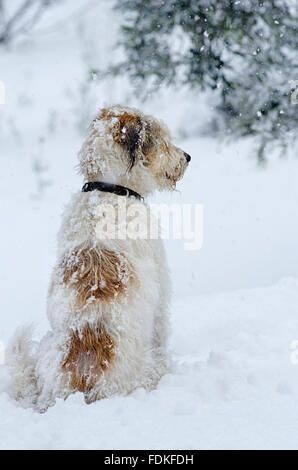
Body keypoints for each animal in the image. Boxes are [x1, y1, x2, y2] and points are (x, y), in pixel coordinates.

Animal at [9, 103, 192, 412]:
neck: (108, 189)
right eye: (164, 140)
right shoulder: (161, 292)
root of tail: (81, 384)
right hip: (151, 366)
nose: (188, 157)